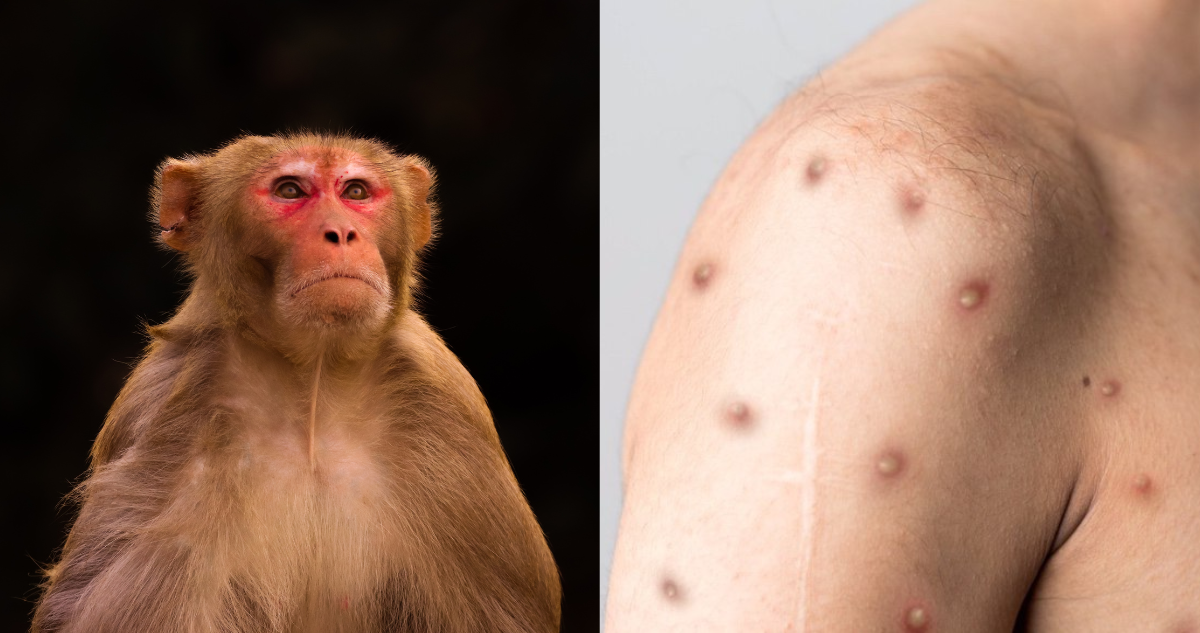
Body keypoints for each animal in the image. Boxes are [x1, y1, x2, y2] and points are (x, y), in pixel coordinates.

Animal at [31, 133, 562, 633]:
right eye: (290, 190)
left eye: (355, 191)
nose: (342, 232)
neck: (314, 391)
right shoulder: (164, 421)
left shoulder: (448, 427)